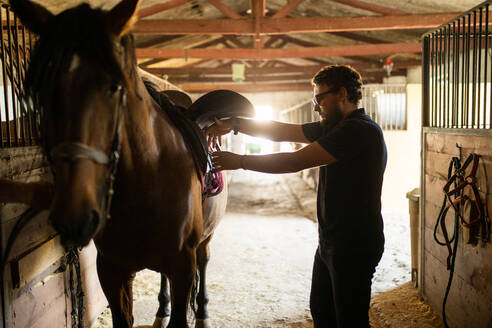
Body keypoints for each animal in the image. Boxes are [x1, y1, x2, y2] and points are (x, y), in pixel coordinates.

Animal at [8, 1, 250, 326]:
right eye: (40, 94)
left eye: (114, 87)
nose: (74, 214)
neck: (146, 182)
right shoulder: (113, 271)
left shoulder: (182, 267)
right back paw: (162, 308)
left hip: (205, 240)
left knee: (204, 262)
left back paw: (203, 312)